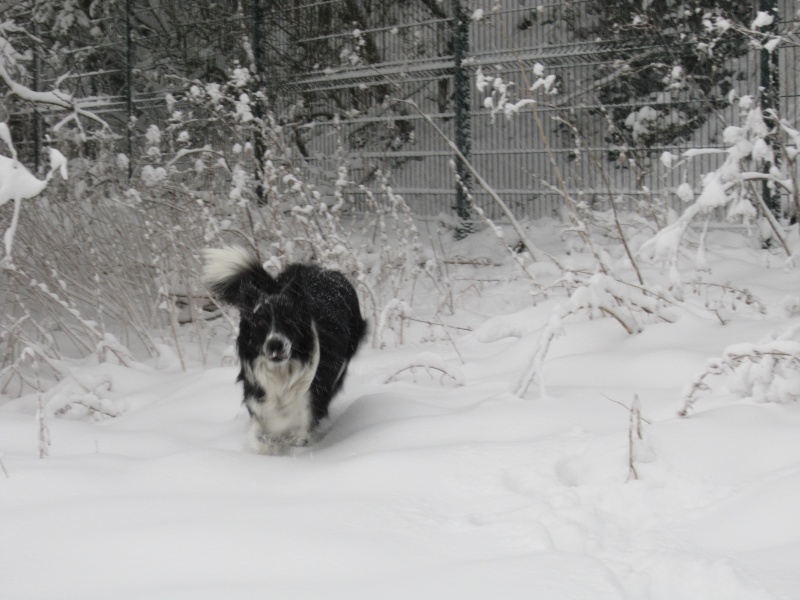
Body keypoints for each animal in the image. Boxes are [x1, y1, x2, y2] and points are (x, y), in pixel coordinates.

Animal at [206, 246, 368, 452]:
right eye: (259, 322)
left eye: (289, 321)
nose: (276, 344)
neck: (281, 373)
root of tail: (324, 271)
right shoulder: (258, 398)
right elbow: (259, 436)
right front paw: (270, 445)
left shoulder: (308, 407)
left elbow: (298, 435)